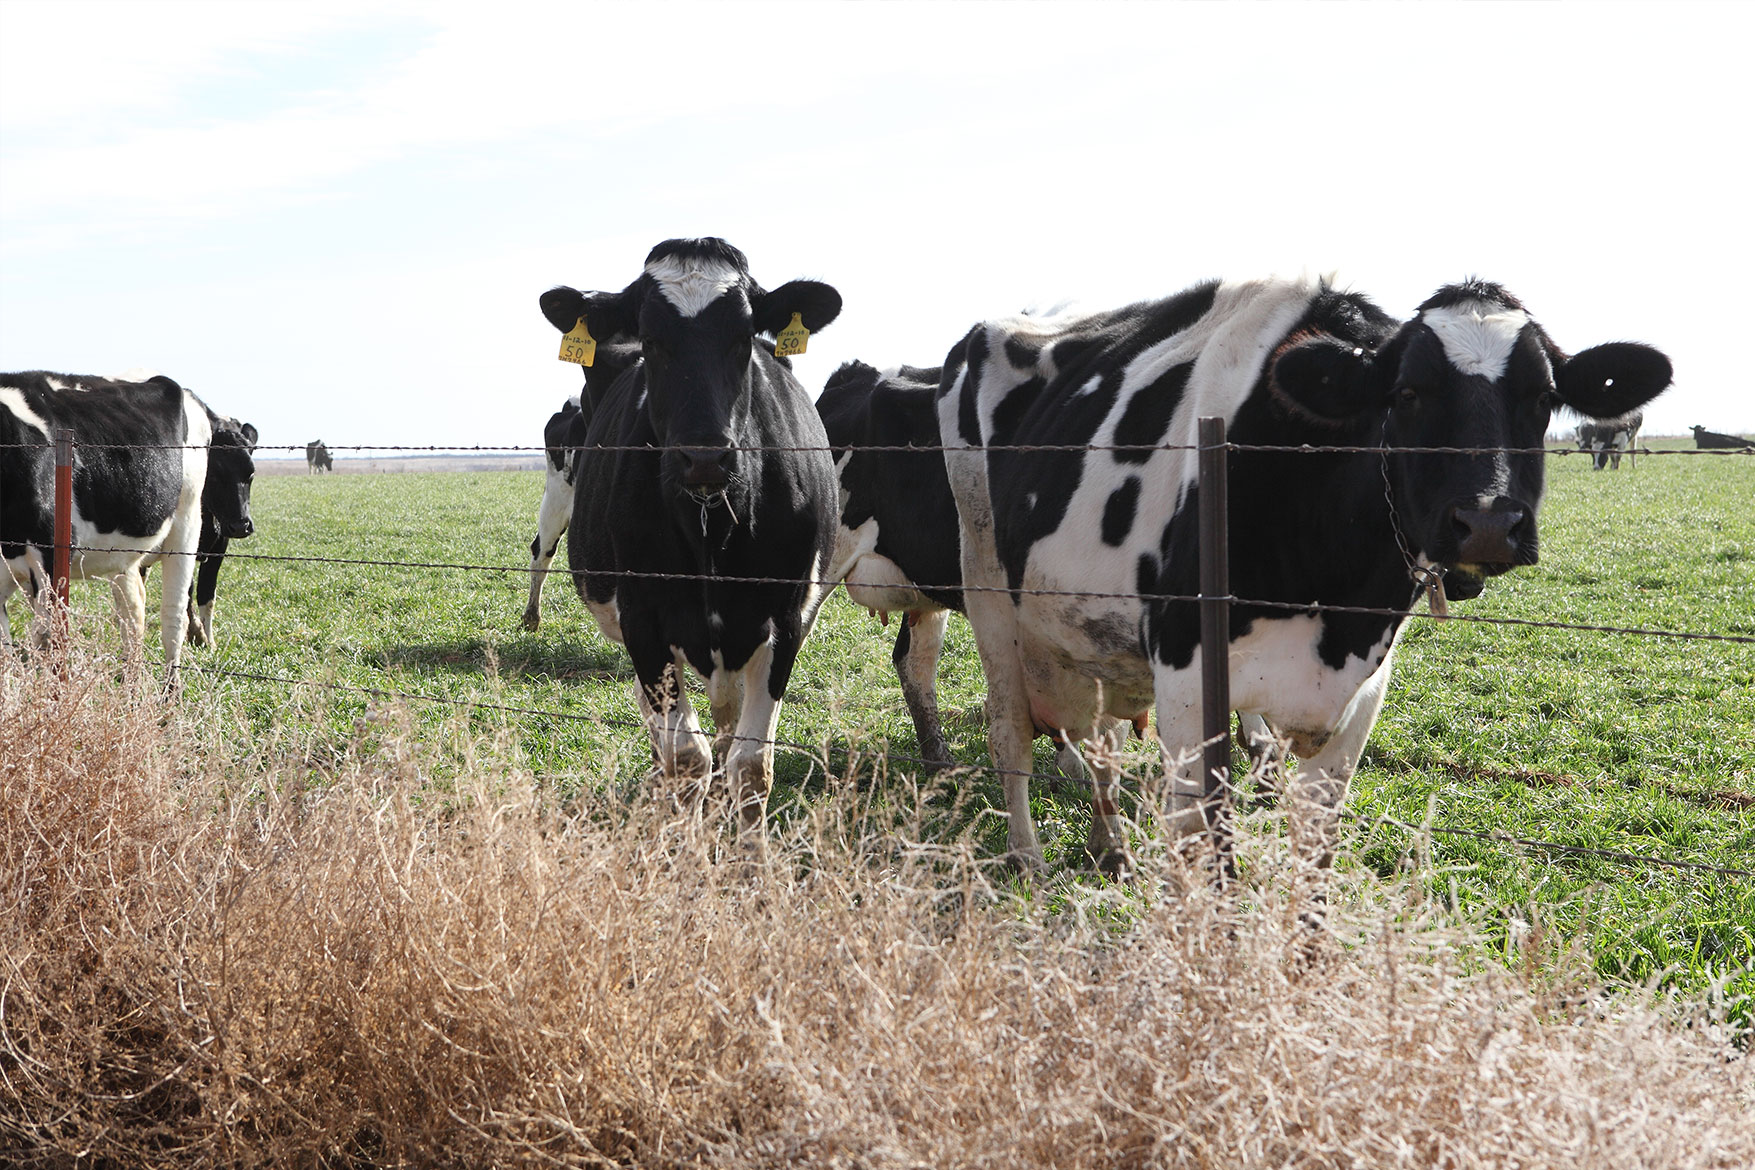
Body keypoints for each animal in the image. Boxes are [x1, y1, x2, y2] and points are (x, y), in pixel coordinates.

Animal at [1, 370, 212, 680]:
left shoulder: (51, 555)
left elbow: (47, 638)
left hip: (187, 523)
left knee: (173, 618)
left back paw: (170, 691)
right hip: (125, 554)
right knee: (132, 612)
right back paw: (130, 684)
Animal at [537, 235, 845, 831]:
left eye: (744, 338)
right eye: (652, 339)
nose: (703, 456)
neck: (711, 528)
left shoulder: (785, 618)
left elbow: (751, 765)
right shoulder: (644, 620)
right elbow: (685, 757)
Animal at [947, 278, 1670, 873]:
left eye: (1544, 396)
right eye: (1406, 394)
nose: (1488, 521)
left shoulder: (1359, 694)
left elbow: (1315, 855)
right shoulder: (1186, 680)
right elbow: (1204, 852)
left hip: (1089, 641)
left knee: (1100, 745)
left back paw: (1112, 851)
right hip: (987, 591)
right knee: (1009, 734)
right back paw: (1027, 860)